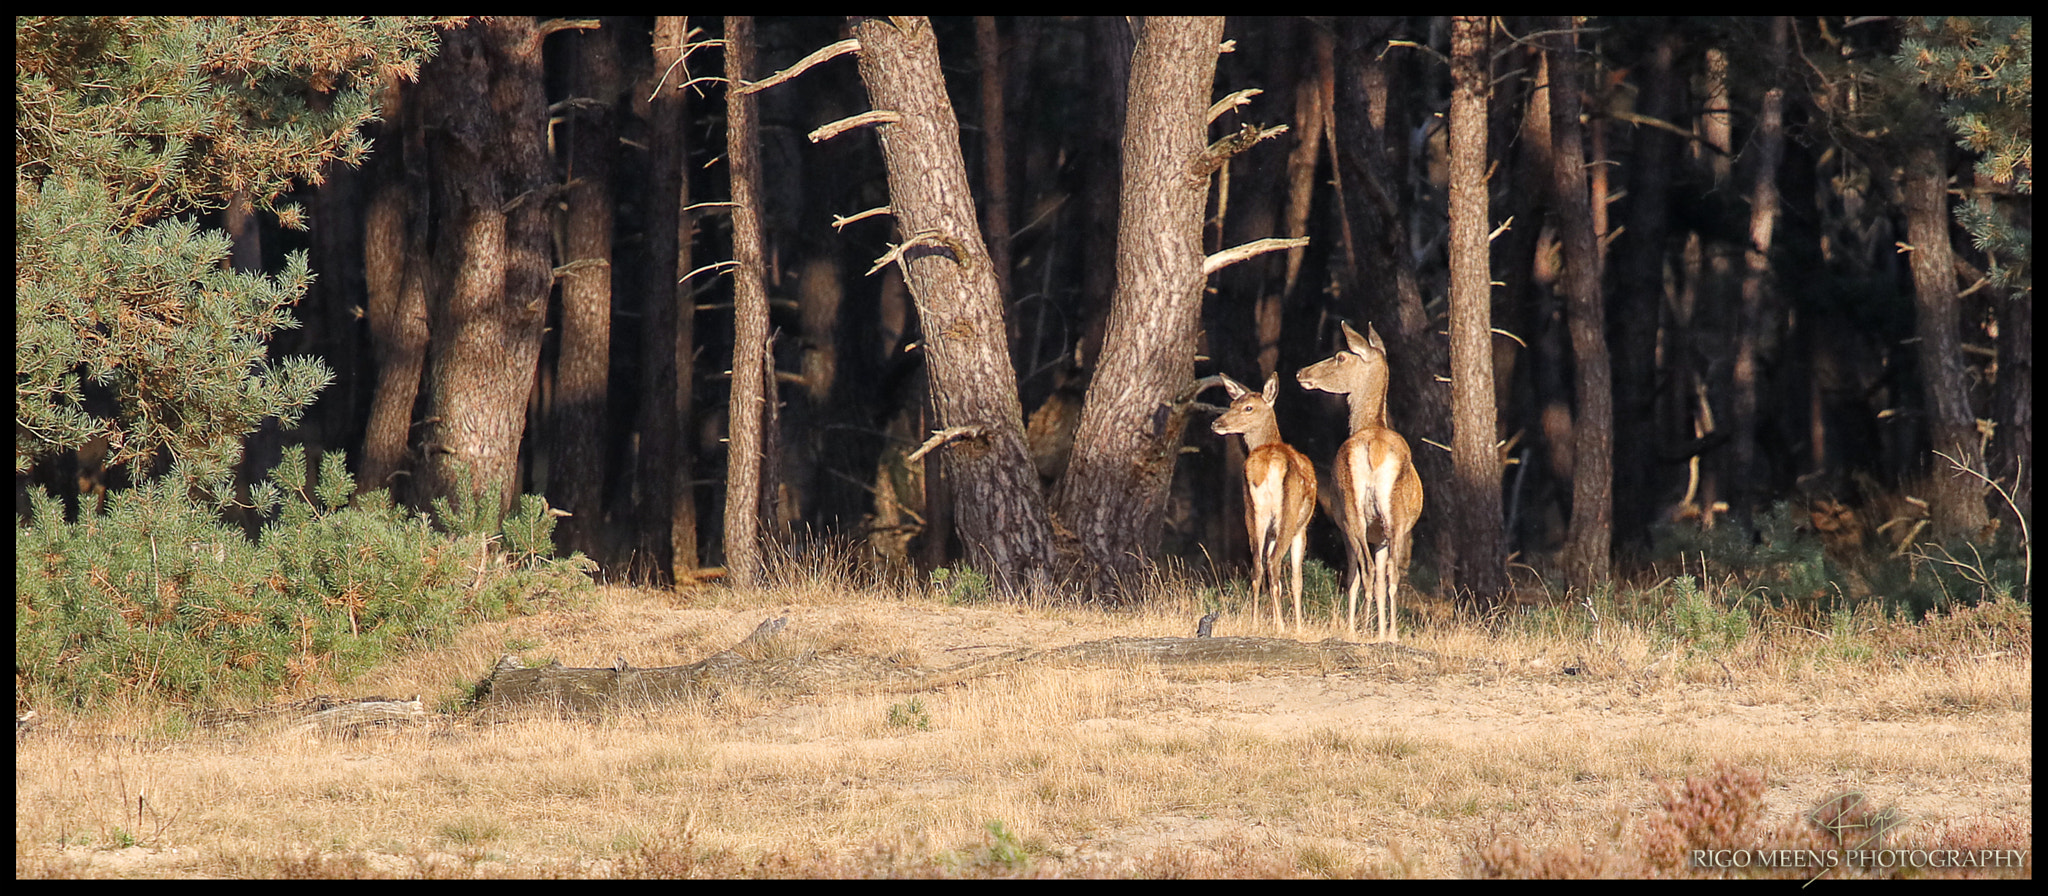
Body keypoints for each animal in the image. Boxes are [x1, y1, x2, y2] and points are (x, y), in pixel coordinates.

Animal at [1204, 370, 1318, 630]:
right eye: (1232, 404)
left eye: (1247, 407)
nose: (1216, 424)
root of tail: (1264, 466)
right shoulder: (1302, 527)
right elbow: (1297, 579)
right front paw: (1297, 626)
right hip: (1288, 513)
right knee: (1274, 564)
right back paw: (1283, 626)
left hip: (1253, 510)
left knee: (1257, 564)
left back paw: (1255, 621)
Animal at [1294, 321, 1425, 638]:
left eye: (1341, 356)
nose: (1302, 373)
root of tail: (1374, 449)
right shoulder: (1380, 536)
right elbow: (1380, 579)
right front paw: (1380, 629)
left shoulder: (1344, 525)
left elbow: (1355, 577)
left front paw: (1355, 627)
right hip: (1394, 521)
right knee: (1391, 574)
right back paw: (1389, 633)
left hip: (1352, 513)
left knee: (1365, 571)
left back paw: (1365, 629)